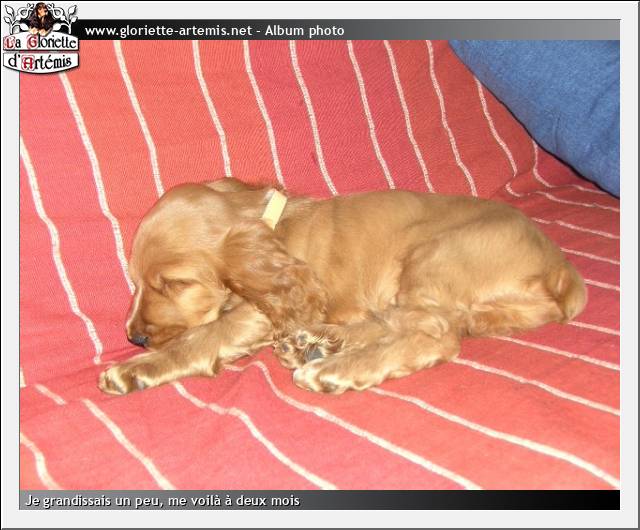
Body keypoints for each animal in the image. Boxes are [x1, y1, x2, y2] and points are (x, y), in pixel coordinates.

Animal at [98, 178, 586, 395]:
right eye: (135, 280)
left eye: (173, 283)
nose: (134, 337)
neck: (272, 225)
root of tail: (561, 271)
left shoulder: (259, 310)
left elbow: (203, 336)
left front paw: (133, 369)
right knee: (397, 323)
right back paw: (317, 344)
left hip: (432, 256)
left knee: (434, 336)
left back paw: (331, 368)